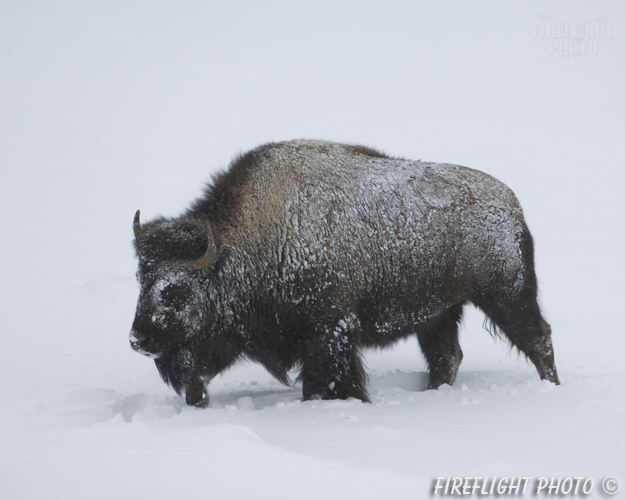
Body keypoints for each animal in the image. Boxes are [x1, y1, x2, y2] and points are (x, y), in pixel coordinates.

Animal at [129, 138, 560, 406]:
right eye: (141, 279)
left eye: (176, 290)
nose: (138, 339)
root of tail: (512, 204)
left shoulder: (330, 331)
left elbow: (329, 380)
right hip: (438, 313)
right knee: (447, 357)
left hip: (505, 295)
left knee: (538, 339)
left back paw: (551, 389)